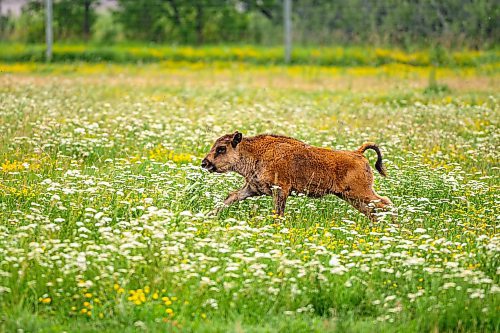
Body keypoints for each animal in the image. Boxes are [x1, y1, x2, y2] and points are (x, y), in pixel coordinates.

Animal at [201, 130, 392, 220]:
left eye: (221, 148)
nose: (204, 163)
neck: (256, 153)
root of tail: (358, 153)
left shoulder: (280, 190)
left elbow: (278, 212)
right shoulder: (252, 188)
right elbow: (231, 197)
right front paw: (209, 215)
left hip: (360, 193)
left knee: (385, 203)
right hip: (350, 197)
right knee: (372, 210)